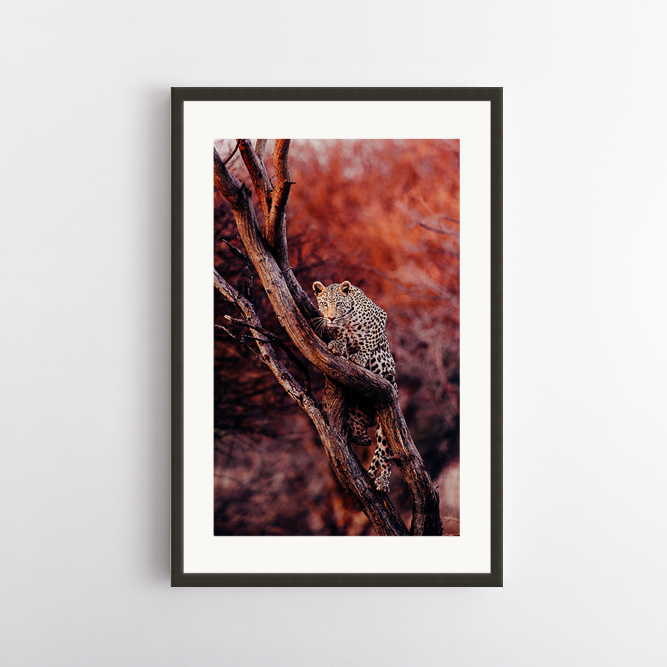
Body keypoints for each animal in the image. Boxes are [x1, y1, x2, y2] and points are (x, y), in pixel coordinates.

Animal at [312, 280, 398, 492]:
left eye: (339, 304)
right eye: (324, 304)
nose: (331, 317)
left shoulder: (379, 317)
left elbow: (369, 341)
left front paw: (359, 357)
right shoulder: (333, 327)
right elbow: (338, 334)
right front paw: (338, 344)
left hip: (387, 423)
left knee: (385, 453)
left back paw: (383, 481)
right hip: (356, 410)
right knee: (359, 435)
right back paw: (361, 438)